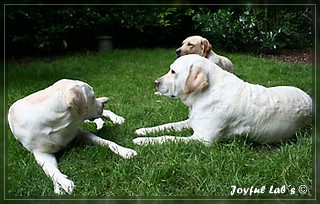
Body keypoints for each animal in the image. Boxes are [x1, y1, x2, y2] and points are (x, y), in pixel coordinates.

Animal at [133, 54, 312, 145]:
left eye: (173, 72)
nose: (156, 82)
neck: (205, 93)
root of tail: (309, 99)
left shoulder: (203, 139)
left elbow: (168, 138)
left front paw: (142, 141)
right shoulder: (192, 121)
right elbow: (167, 126)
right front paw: (144, 130)